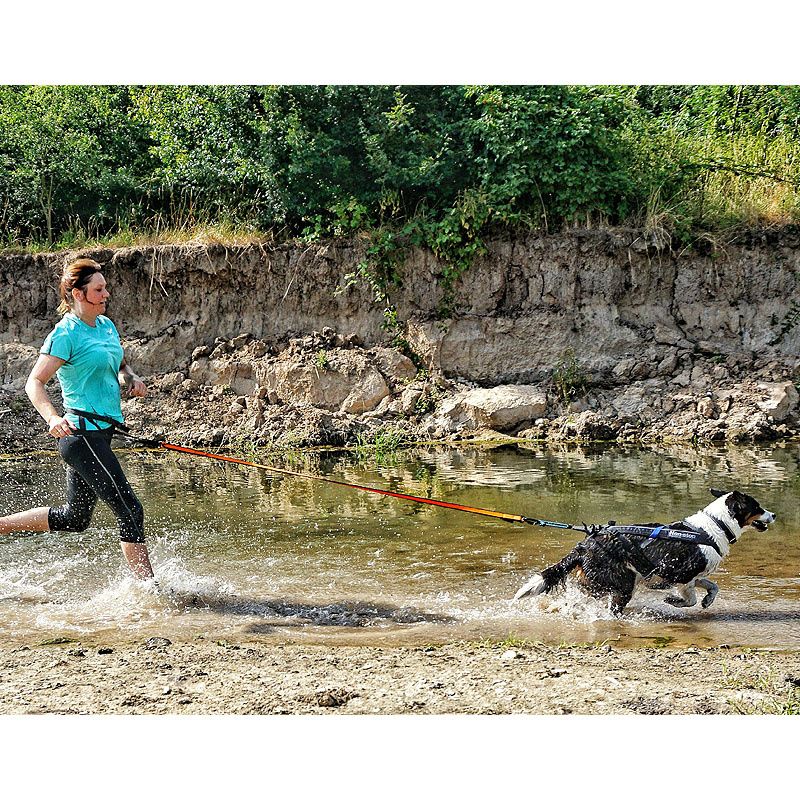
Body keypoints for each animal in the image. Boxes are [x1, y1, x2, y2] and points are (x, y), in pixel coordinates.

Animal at [512, 488, 776, 612]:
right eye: (758, 507)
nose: (773, 514)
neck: (716, 525)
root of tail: (585, 546)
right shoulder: (681, 575)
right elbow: (689, 599)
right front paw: (675, 602)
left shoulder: (694, 576)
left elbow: (713, 586)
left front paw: (708, 600)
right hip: (621, 584)